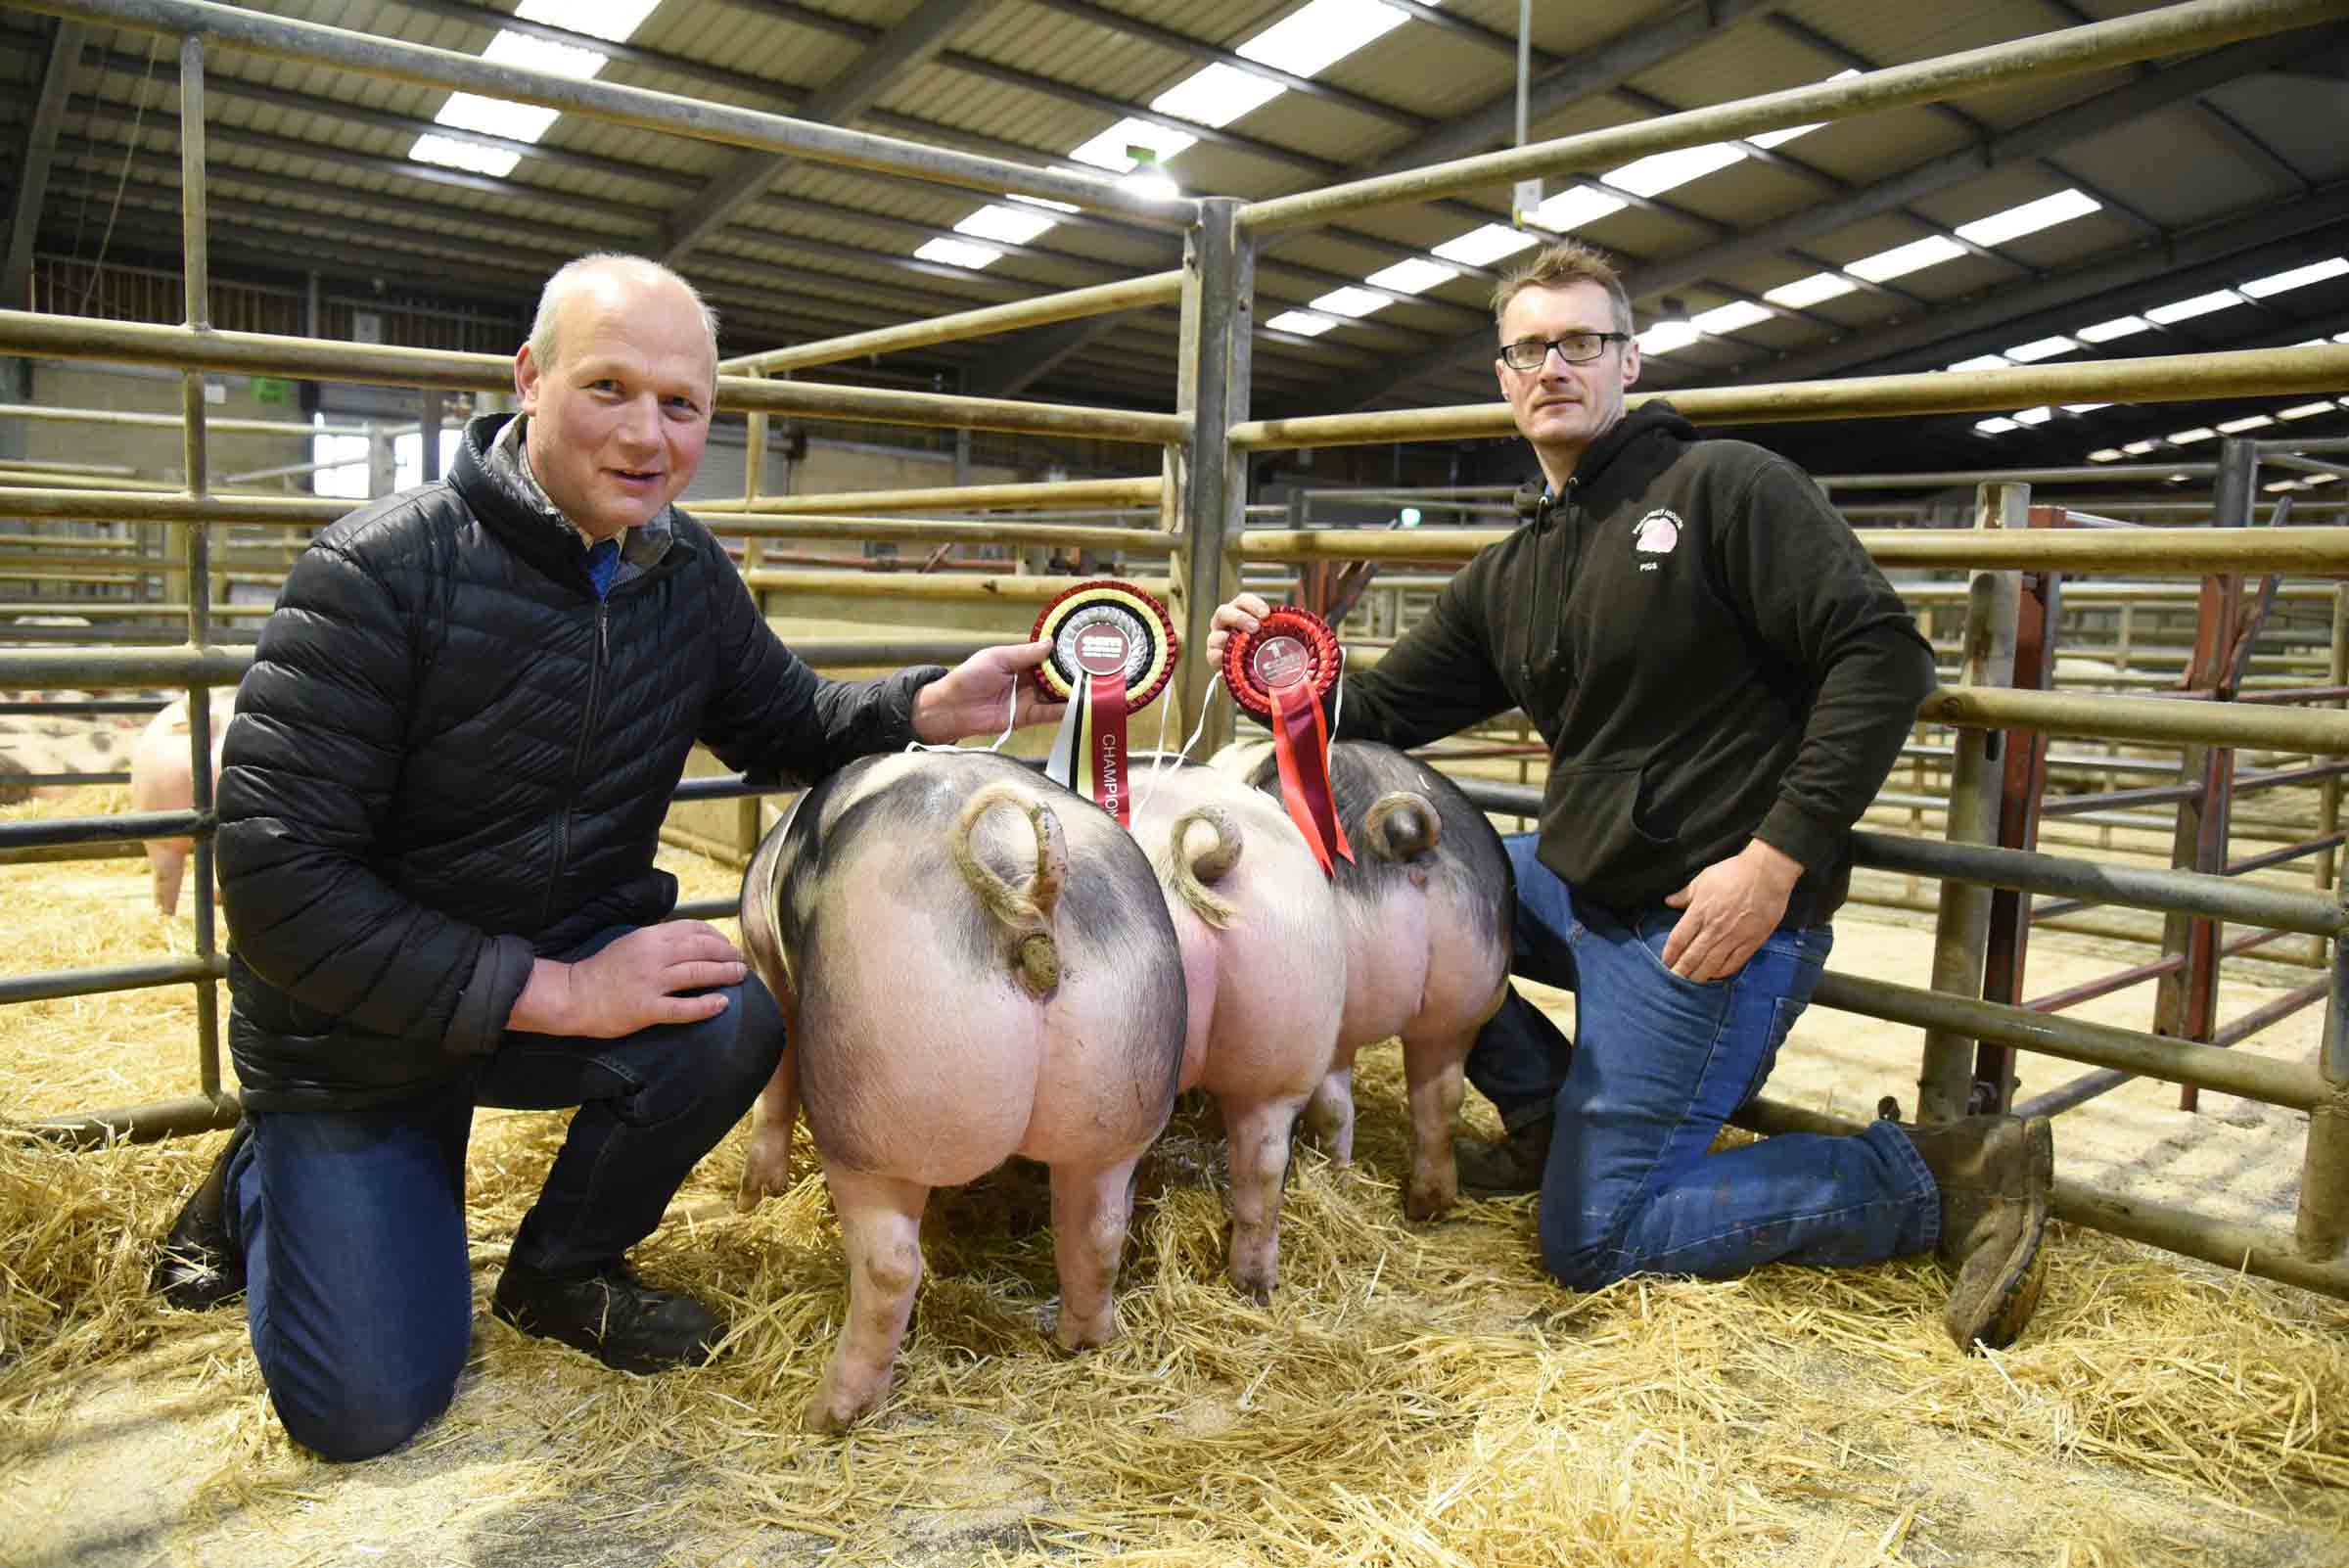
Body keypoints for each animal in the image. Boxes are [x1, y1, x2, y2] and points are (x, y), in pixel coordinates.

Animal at [732, 751, 1183, 1436]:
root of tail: (1027, 898)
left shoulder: (766, 961)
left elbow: (776, 1082)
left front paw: (756, 1194)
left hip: (873, 1100)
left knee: (891, 1267)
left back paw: (830, 1413)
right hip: (1124, 1089)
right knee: (1098, 1229)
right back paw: (1081, 1342)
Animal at [1212, 737, 1522, 1221]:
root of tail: (1403, 830)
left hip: (1335, 1016)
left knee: (1336, 1109)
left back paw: (1337, 1178)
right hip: (1464, 1006)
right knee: (1442, 1101)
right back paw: (1426, 1205)